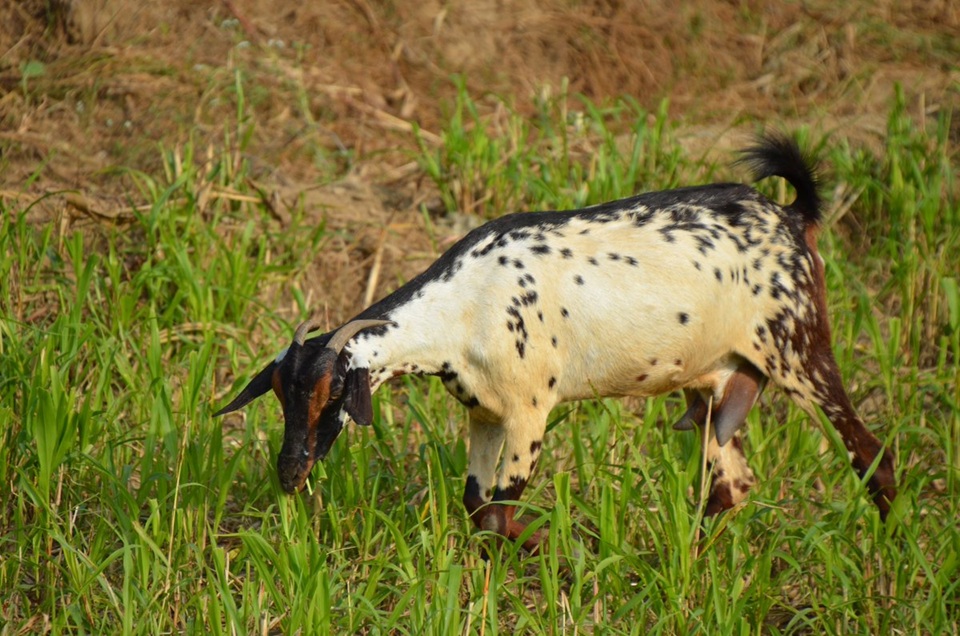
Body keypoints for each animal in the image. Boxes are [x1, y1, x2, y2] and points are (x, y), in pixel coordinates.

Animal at [214, 135, 896, 552]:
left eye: (332, 395)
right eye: (281, 396)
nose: (290, 471)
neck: (464, 305)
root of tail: (790, 216)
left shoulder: (530, 412)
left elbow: (498, 511)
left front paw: (563, 550)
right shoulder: (485, 415)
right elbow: (476, 507)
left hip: (798, 349)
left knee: (873, 456)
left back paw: (888, 560)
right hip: (715, 390)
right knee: (733, 486)